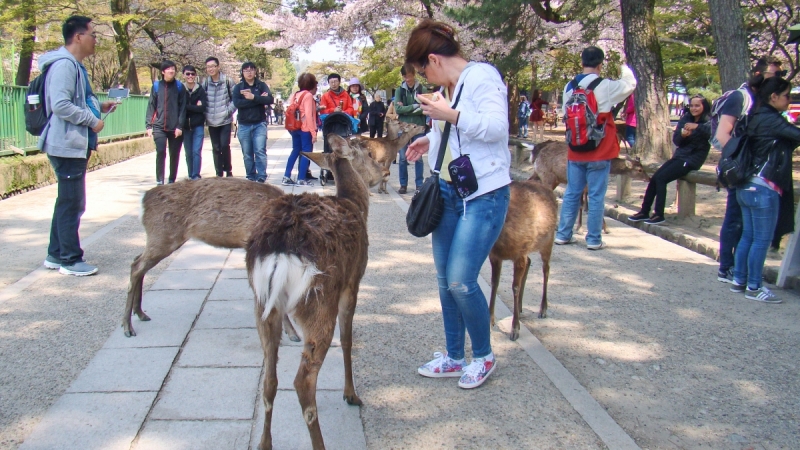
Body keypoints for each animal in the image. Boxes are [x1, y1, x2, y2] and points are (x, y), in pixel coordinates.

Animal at [121, 144, 388, 338]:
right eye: (367, 154)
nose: (385, 172)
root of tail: (143, 201)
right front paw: (292, 334)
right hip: (164, 234)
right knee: (135, 266)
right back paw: (127, 327)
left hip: (160, 237)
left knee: (137, 262)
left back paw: (140, 313)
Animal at [245, 134, 368, 450]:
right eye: (361, 144)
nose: (384, 167)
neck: (355, 203)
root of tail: (279, 251)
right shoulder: (353, 281)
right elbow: (347, 339)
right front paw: (351, 394)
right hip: (318, 302)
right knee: (302, 381)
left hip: (263, 305)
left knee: (270, 379)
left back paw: (265, 443)